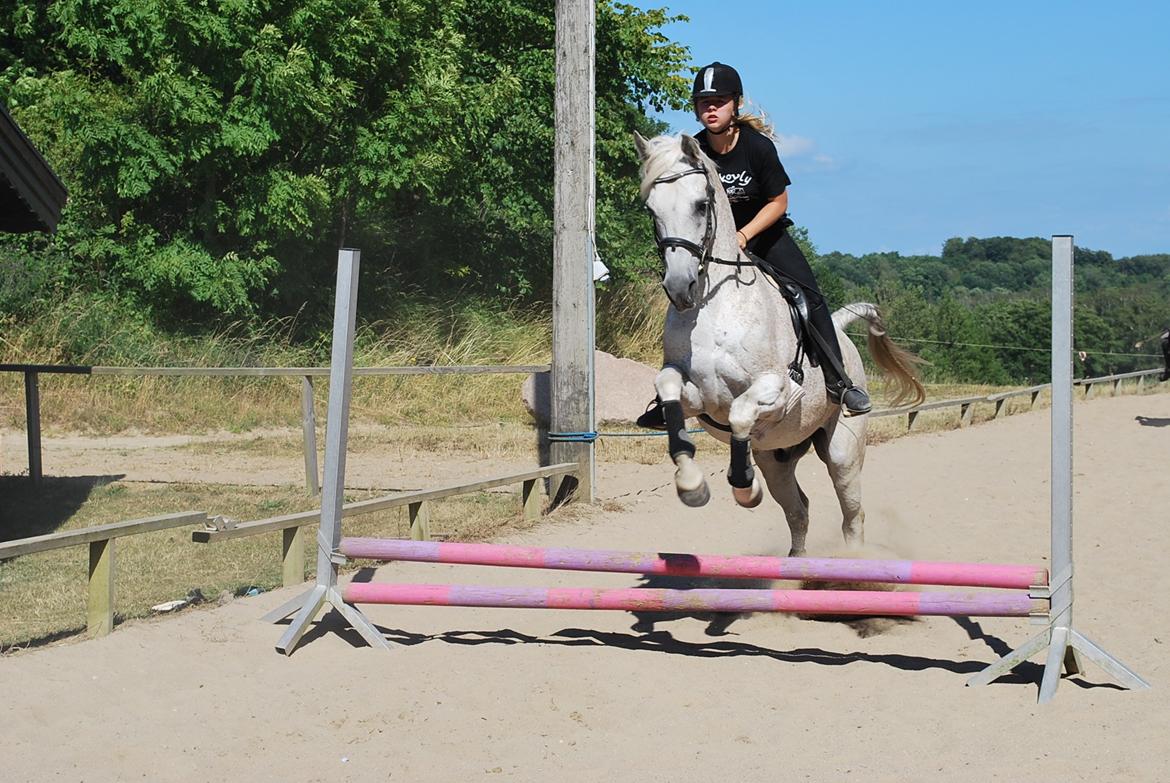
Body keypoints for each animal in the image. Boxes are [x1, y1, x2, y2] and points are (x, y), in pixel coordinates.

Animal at [636, 129, 926, 554]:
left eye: (701, 205)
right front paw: (692, 485)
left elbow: (741, 412)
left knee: (852, 515)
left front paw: (745, 488)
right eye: (652, 210)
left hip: (842, 451)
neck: (712, 305)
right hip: (777, 457)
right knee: (798, 511)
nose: (679, 287)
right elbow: (669, 390)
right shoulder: (693, 393)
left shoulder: (778, 390)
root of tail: (840, 331)